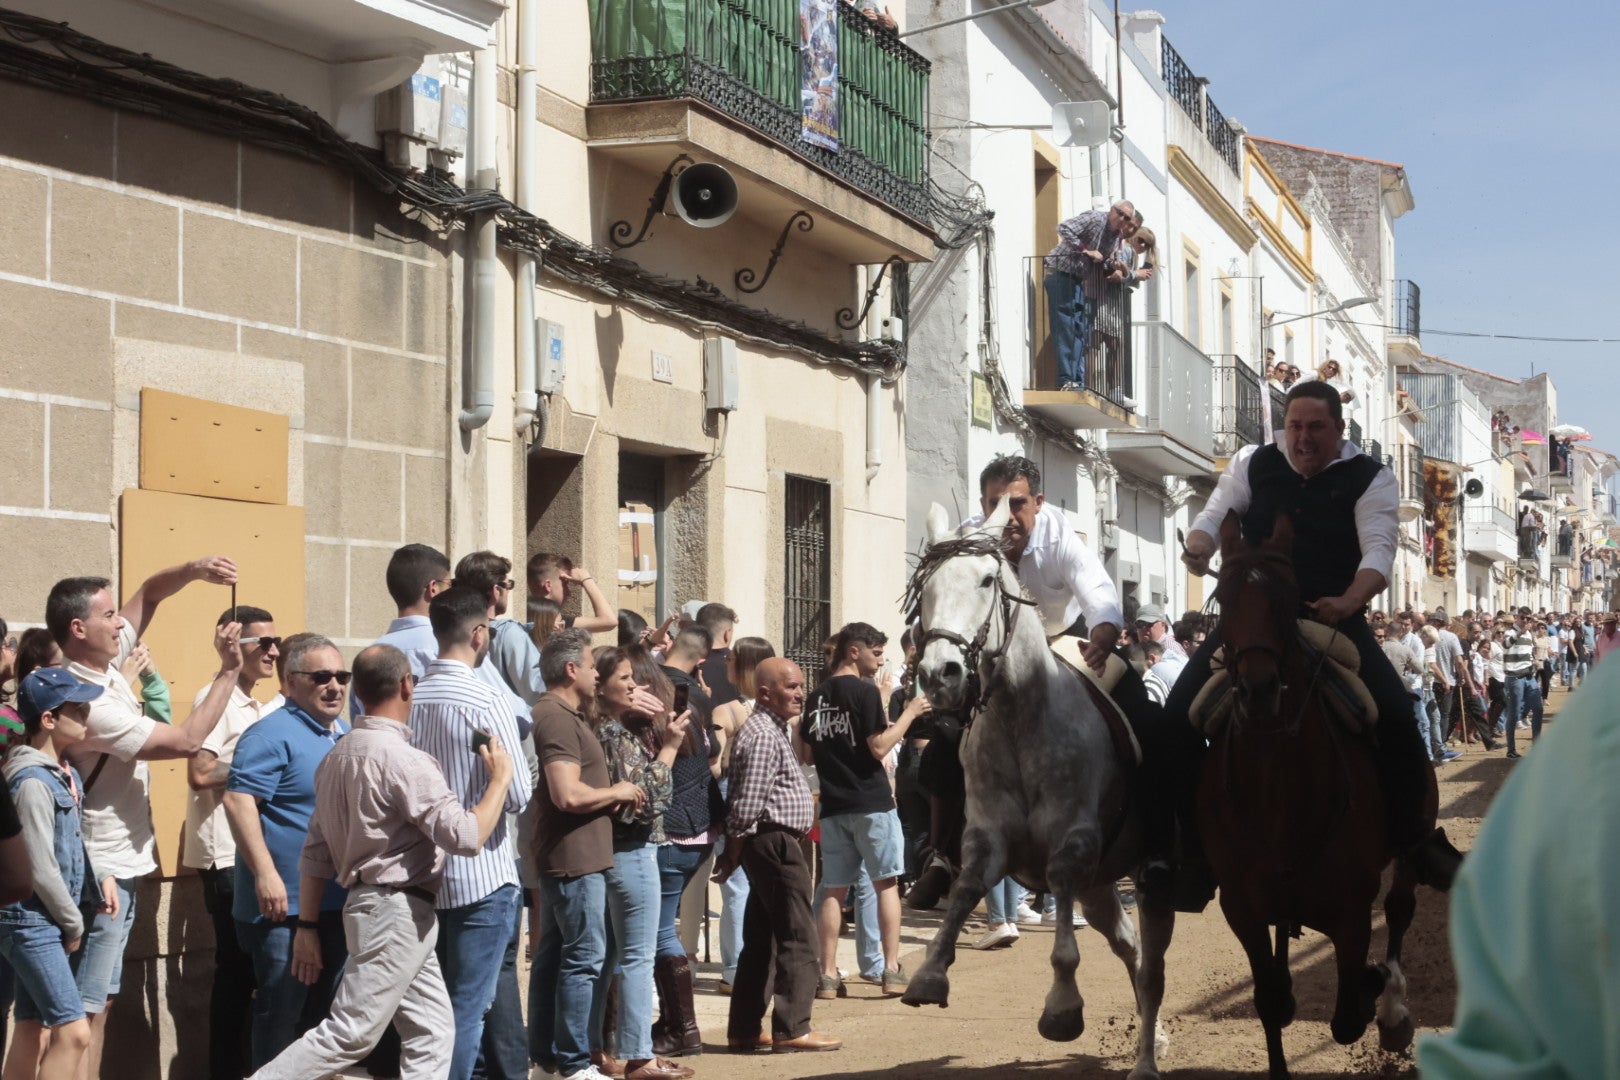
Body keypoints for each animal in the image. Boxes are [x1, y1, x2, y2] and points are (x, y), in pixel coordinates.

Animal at [900, 505, 1179, 1080]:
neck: (1020, 714)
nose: (939, 674)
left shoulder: (1075, 842)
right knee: (1133, 953)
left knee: (1153, 967)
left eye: (987, 580)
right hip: (1102, 888)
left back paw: (1146, 1059)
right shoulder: (987, 838)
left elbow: (1062, 930)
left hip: (1147, 879)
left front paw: (1062, 1009)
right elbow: (964, 891)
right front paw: (929, 975)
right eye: (926, 588)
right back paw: (1154, 1037)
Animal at [1205, 514, 1432, 1080]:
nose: (1259, 689)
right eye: (1223, 596)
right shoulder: (1241, 906)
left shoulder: (1352, 911)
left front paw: (1376, 990)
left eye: (1289, 599)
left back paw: (1393, 1009)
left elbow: (1347, 1017)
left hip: (1410, 847)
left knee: (1400, 909)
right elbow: (1269, 1000)